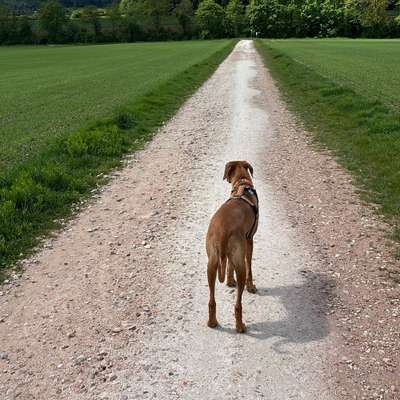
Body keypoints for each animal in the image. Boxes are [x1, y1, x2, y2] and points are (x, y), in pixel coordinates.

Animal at [206, 161, 260, 332]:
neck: (242, 184)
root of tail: (223, 230)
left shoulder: (230, 256)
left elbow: (229, 265)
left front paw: (230, 281)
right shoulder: (249, 240)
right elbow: (250, 267)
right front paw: (251, 287)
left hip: (212, 263)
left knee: (211, 300)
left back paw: (212, 322)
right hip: (240, 263)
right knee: (238, 303)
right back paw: (240, 326)